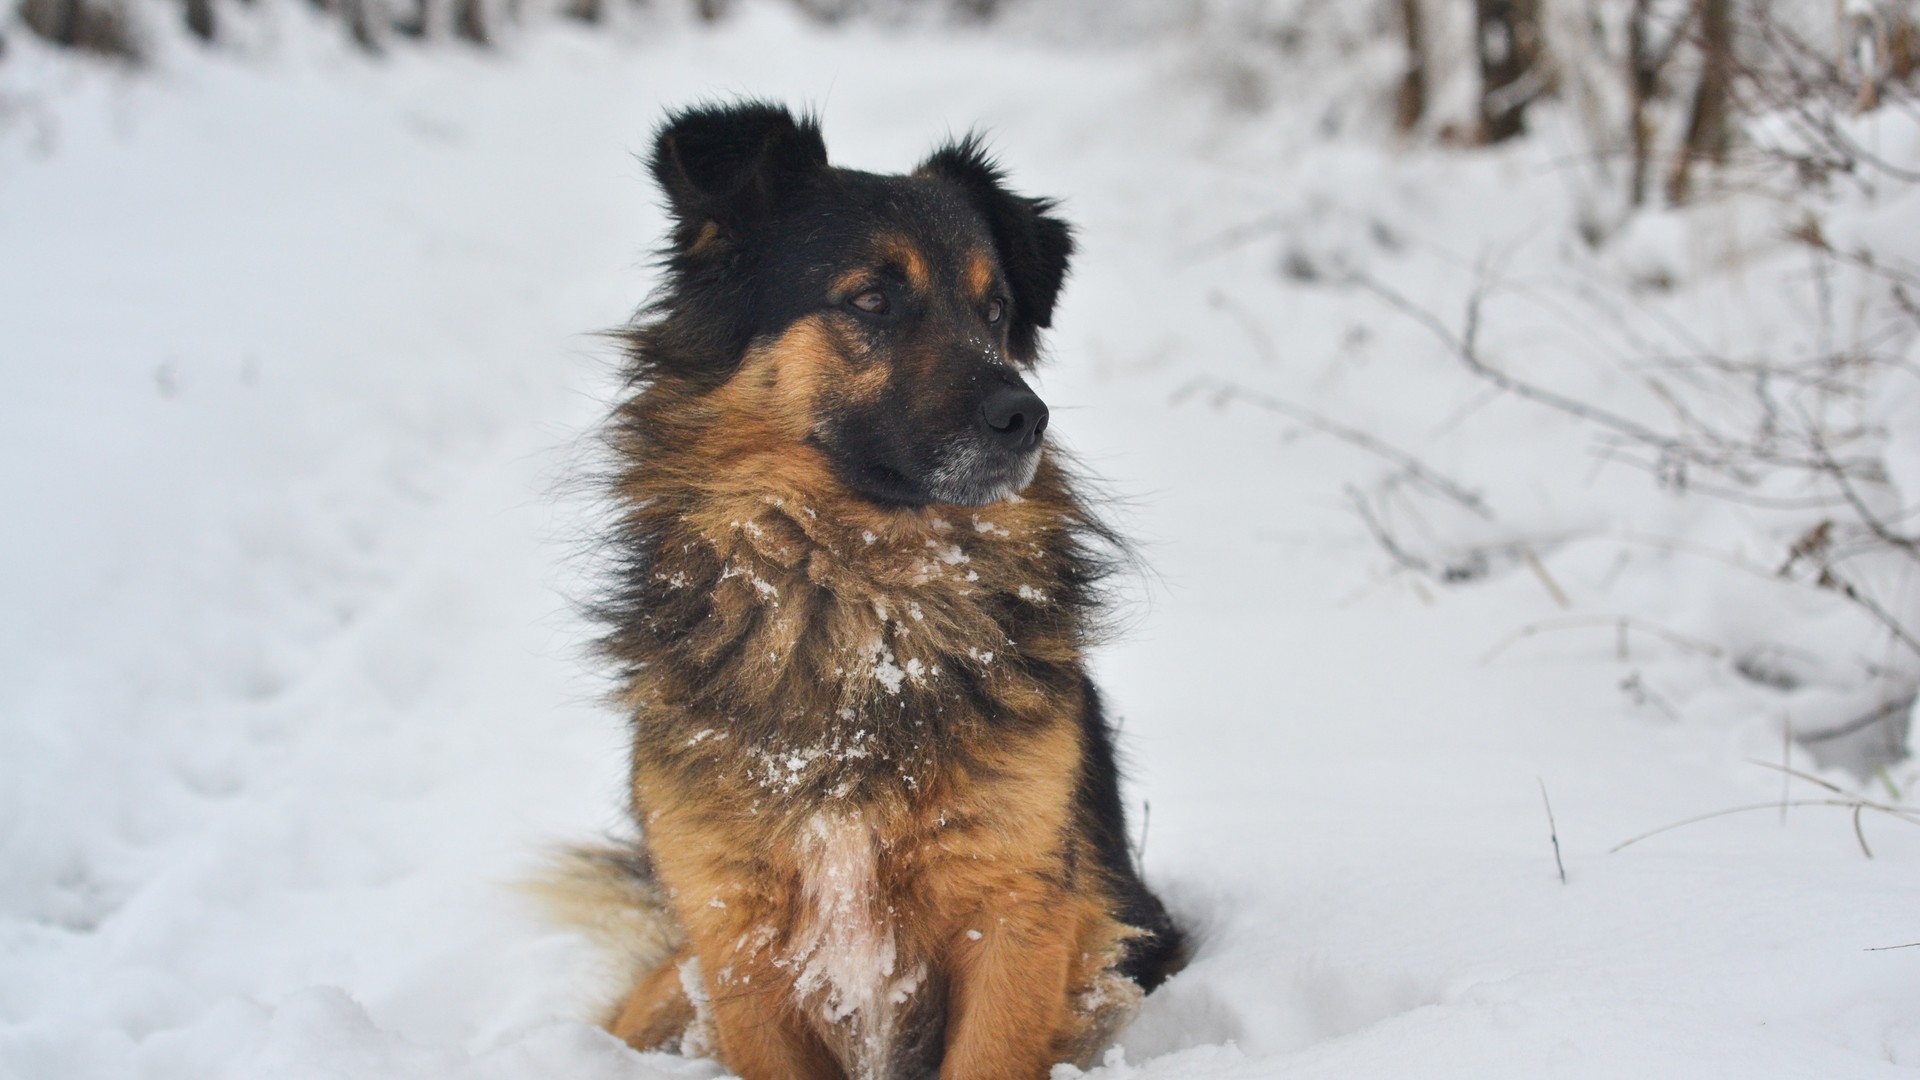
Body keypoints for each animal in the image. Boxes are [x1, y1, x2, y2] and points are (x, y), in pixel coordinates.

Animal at [556, 100, 1175, 1076]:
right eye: (872, 301)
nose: (1027, 416)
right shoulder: (735, 933)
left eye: (995, 309)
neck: (858, 595)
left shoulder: (1015, 910)